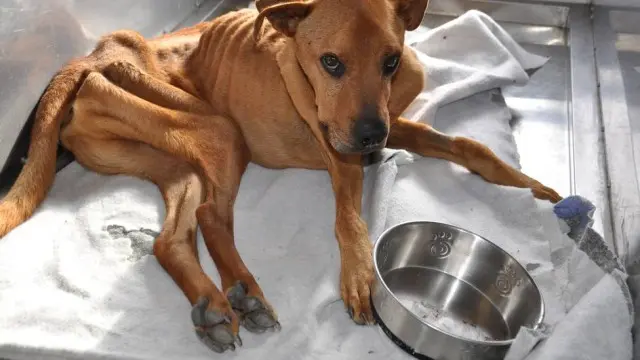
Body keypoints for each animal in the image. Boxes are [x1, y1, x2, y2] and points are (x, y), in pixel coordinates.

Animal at [0, 0, 560, 354]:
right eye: (330, 62)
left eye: (391, 61)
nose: (370, 140)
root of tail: (92, 56)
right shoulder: (340, 152)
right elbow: (349, 218)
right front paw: (359, 273)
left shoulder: (389, 124)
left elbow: (467, 145)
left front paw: (534, 188)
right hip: (221, 131)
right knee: (211, 214)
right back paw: (243, 290)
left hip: (171, 157)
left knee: (172, 235)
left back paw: (213, 302)